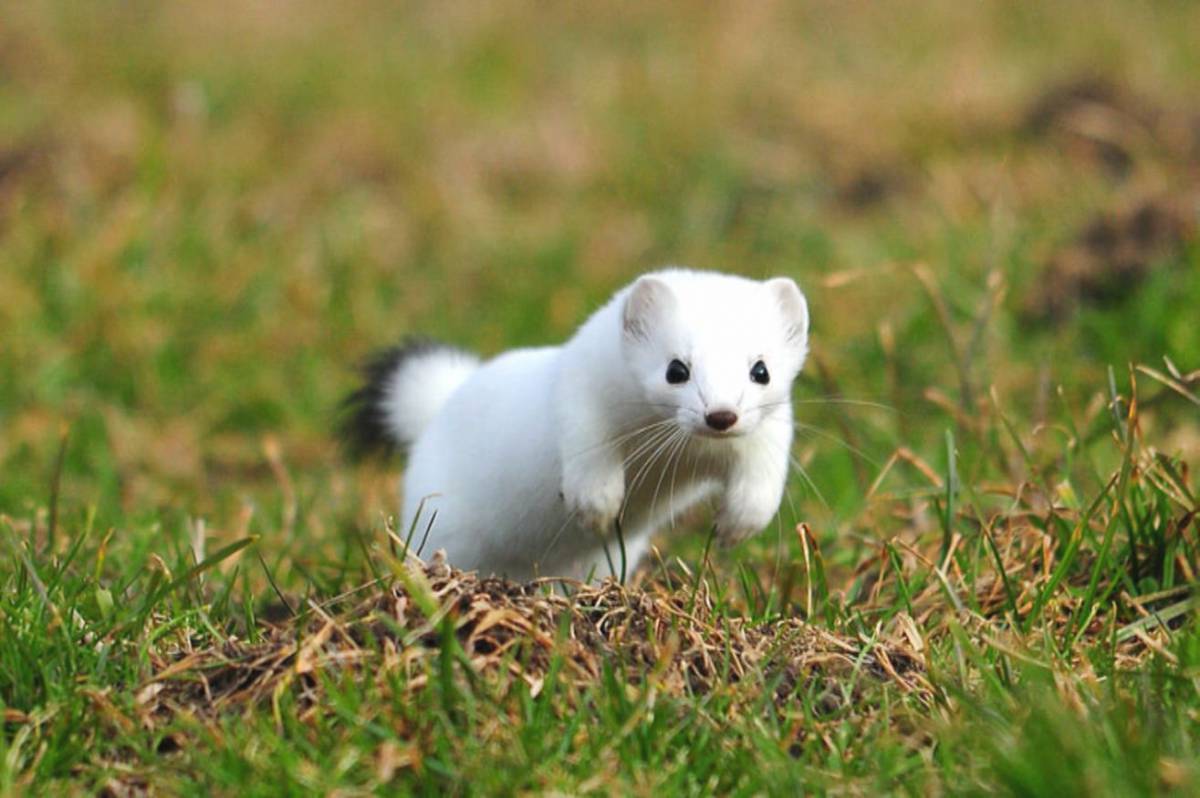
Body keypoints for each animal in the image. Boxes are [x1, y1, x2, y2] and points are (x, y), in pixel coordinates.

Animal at [343, 267, 811, 578]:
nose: (721, 415)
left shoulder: (769, 432)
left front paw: (738, 526)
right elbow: (588, 450)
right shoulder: (580, 395)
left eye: (761, 370)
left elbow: (762, 479)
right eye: (676, 369)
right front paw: (598, 507)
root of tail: (443, 401)